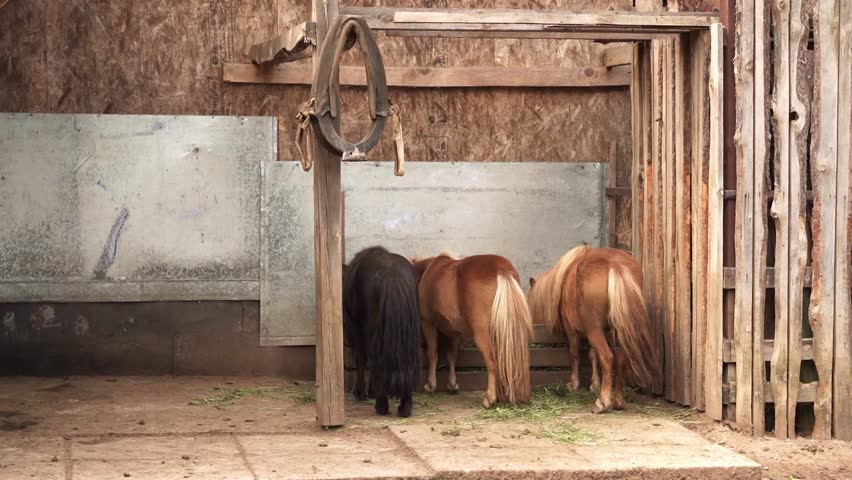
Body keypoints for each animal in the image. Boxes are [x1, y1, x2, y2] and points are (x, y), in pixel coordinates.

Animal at [343, 246, 421, 417]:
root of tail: (393, 277)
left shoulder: (359, 330)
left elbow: (361, 359)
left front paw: (362, 392)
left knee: (375, 359)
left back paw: (381, 404)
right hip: (410, 330)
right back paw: (405, 405)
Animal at [411, 252, 532, 408]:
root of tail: (501, 269)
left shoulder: (427, 323)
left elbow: (432, 354)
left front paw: (431, 385)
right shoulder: (454, 331)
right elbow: (452, 355)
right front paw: (452, 385)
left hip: (482, 335)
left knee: (492, 363)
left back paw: (489, 398)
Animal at [527, 245, 659, 414]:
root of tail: (615, 264)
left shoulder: (573, 331)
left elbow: (575, 354)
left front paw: (574, 384)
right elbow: (593, 355)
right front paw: (595, 384)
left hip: (593, 328)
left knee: (607, 357)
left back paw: (602, 402)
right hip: (618, 330)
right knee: (620, 359)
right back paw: (618, 401)